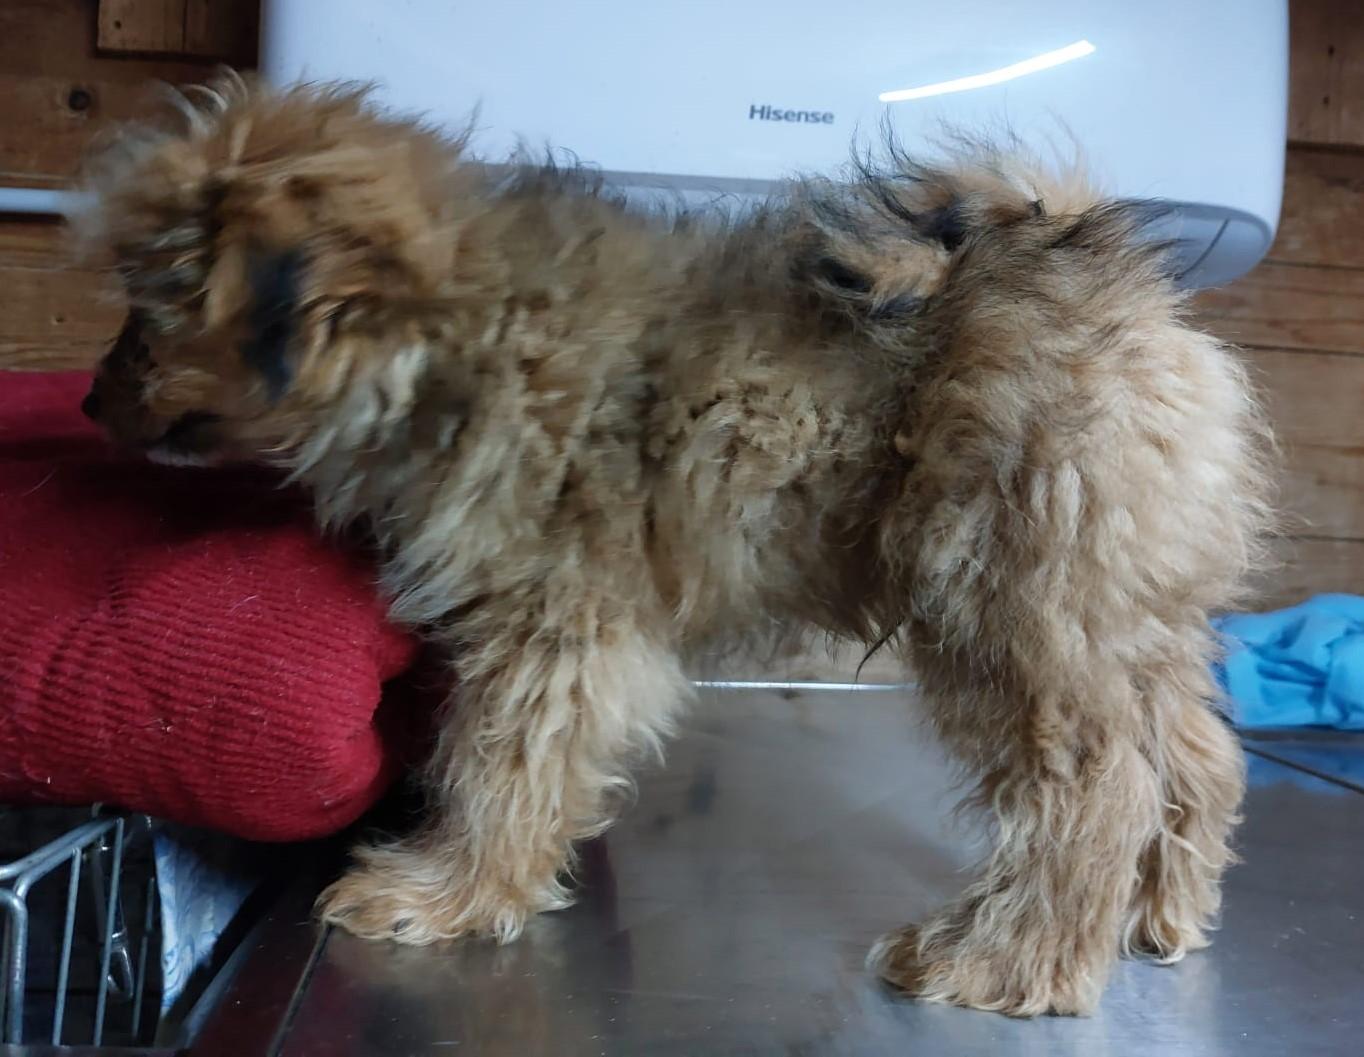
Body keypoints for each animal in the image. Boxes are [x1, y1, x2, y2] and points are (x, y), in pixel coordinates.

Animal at [76, 76, 1272, 1016]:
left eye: (152, 310)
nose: (86, 401)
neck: (444, 324)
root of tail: (1099, 265)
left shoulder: (554, 622)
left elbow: (500, 766)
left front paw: (450, 890)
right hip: (1114, 605)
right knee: (1192, 753)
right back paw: (1162, 911)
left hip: (1005, 604)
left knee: (1094, 790)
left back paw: (1009, 959)